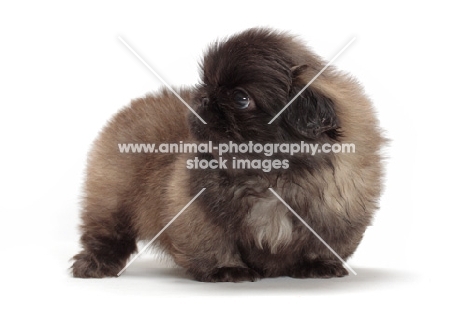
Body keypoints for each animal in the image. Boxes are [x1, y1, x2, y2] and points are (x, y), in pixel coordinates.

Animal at [70, 28, 384, 282]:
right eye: (206, 83)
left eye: (241, 99)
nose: (203, 97)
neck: (269, 176)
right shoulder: (200, 213)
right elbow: (216, 244)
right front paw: (227, 269)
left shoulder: (338, 216)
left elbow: (322, 244)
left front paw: (318, 265)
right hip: (112, 196)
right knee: (105, 231)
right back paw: (96, 264)